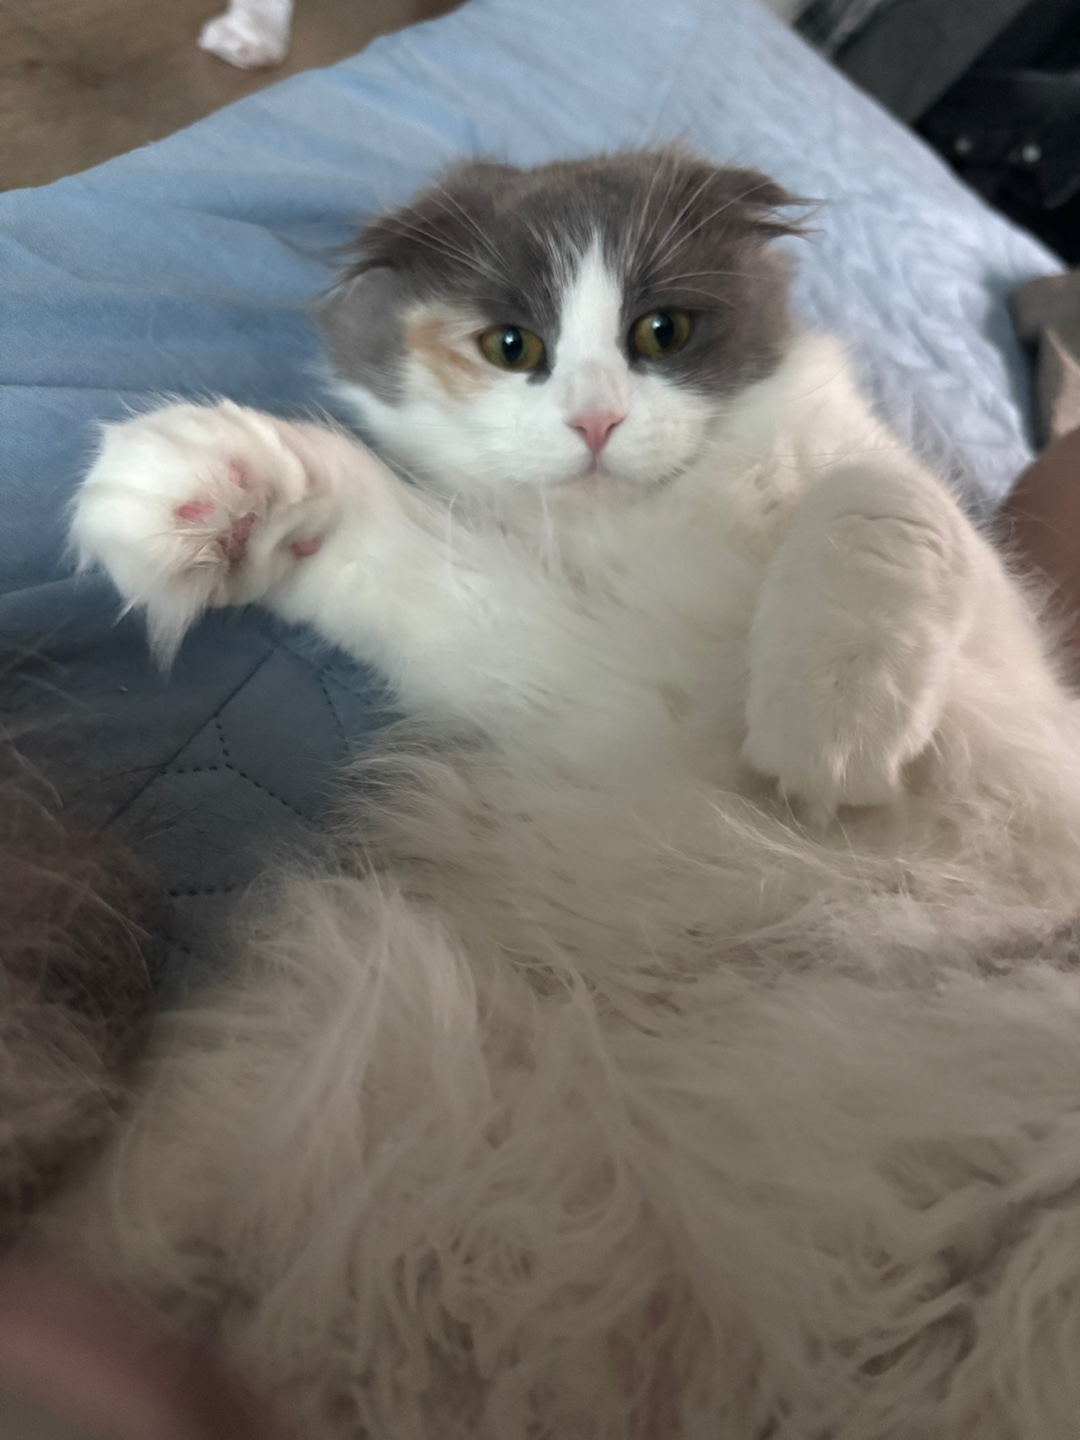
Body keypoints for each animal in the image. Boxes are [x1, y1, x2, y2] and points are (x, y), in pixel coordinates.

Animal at [54, 149, 1080, 1439]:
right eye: (512, 347)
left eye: (661, 332)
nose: (597, 421)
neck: (661, 538)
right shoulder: (595, 686)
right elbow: (389, 546)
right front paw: (209, 496)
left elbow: (874, 503)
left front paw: (829, 724)